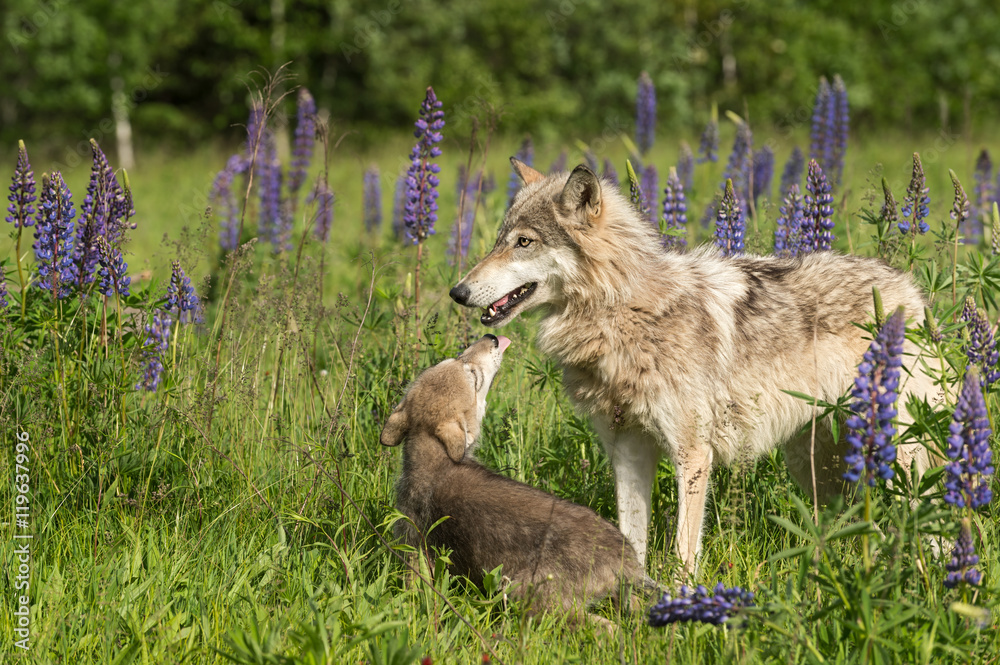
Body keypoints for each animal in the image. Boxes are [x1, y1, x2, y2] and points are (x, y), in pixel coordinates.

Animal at [381, 334, 649, 620]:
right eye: (472, 374)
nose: (491, 337)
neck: (433, 458)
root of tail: (627, 561)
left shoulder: (415, 551)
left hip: (527, 596)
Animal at [449, 159, 940, 575]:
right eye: (500, 239)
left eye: (524, 242)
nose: (457, 292)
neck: (624, 314)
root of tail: (909, 287)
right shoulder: (628, 450)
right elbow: (632, 539)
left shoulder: (693, 454)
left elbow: (685, 550)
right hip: (816, 463)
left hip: (902, 455)